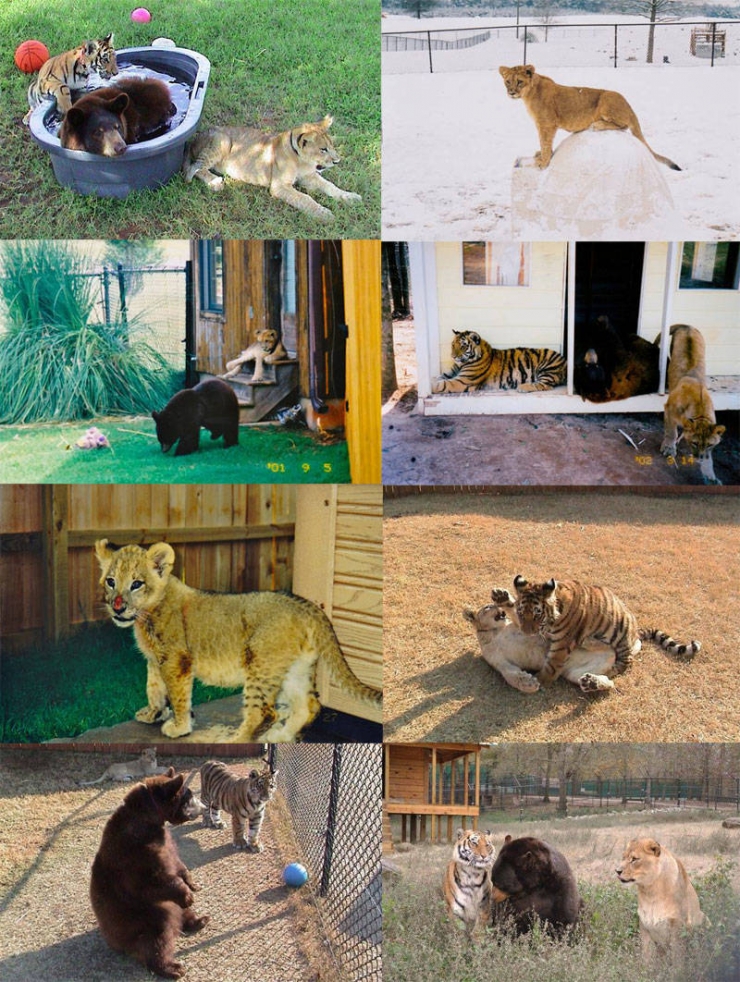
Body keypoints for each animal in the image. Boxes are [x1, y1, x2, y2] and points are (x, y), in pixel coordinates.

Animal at [182, 115, 361, 221]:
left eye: (331, 146)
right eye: (323, 149)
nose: (337, 161)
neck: (301, 160)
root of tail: (197, 135)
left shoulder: (309, 176)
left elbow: (330, 186)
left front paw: (350, 197)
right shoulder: (279, 187)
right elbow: (305, 198)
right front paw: (324, 214)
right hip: (223, 142)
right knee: (193, 169)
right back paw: (215, 182)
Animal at [431, 330, 566, 394]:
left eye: (463, 346)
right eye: (453, 345)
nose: (453, 356)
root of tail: (566, 361)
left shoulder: (462, 381)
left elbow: (442, 385)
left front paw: (431, 387)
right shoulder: (452, 373)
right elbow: (440, 377)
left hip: (548, 367)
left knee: (545, 385)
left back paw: (522, 387)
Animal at [492, 576, 701, 687]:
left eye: (537, 614)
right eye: (522, 612)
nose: (527, 632)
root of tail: (636, 631)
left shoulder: (560, 645)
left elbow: (550, 668)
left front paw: (536, 681)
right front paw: (501, 597)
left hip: (622, 641)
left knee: (621, 666)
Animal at [498, 65, 681, 171]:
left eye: (519, 82)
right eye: (507, 81)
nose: (511, 92)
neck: (528, 94)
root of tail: (630, 107)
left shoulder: (547, 124)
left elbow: (545, 142)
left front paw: (543, 162)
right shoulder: (544, 125)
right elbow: (544, 143)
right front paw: (541, 156)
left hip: (607, 97)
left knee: (623, 126)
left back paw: (597, 125)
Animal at [660, 324, 725, 485]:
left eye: (710, 445)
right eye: (694, 443)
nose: (699, 458)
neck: (700, 413)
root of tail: (687, 326)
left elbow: (710, 459)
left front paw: (711, 476)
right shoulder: (669, 409)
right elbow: (671, 431)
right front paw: (669, 448)